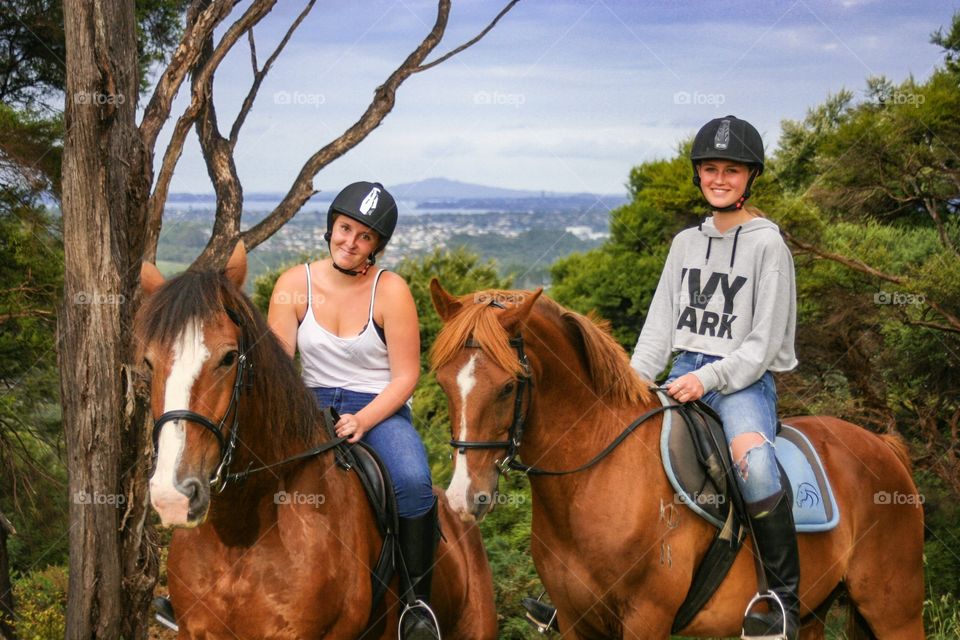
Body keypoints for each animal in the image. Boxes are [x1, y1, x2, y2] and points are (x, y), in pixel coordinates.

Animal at [428, 282, 924, 640]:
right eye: (444, 382)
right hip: (815, 612)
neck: (593, 478)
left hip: (894, 613)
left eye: (509, 386)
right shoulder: (574, 621)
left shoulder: (645, 618)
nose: (465, 498)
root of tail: (884, 447)